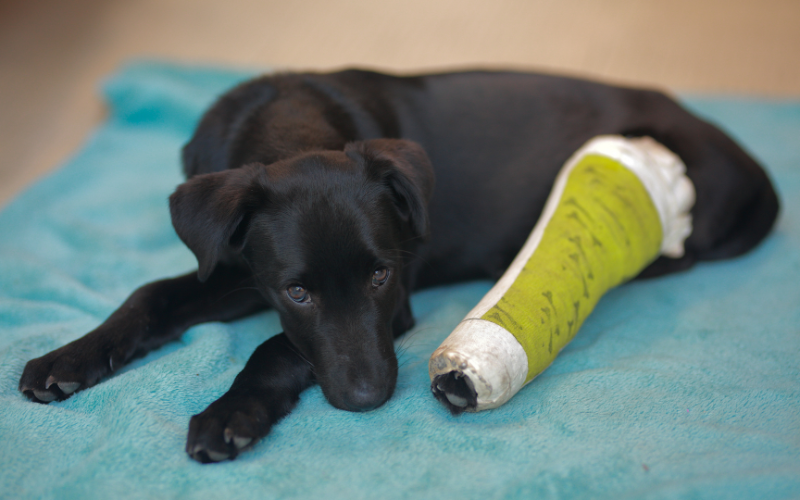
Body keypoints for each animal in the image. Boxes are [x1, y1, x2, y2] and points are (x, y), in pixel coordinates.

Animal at [18, 68, 780, 462]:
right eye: (298, 290)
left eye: (381, 276)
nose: (369, 399)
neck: (292, 131)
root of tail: (749, 164)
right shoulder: (234, 265)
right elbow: (150, 295)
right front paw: (68, 360)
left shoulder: (396, 303)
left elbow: (275, 348)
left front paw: (232, 414)